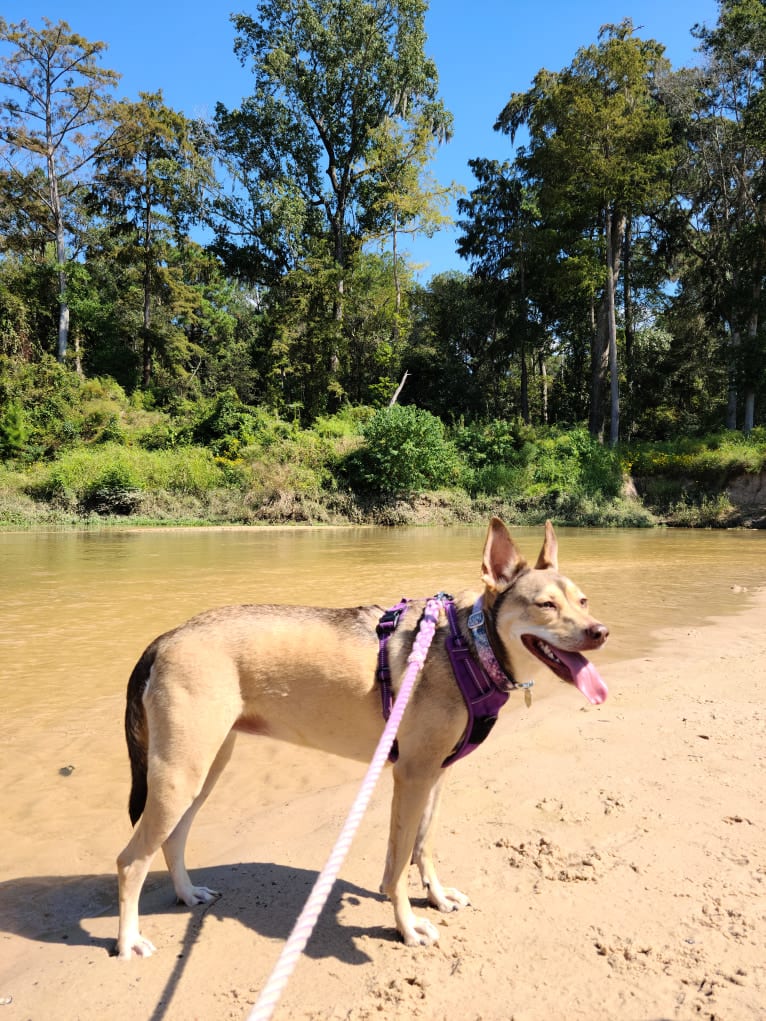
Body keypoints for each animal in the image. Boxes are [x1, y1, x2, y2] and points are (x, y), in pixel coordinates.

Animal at [115, 518, 604, 955]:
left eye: (583, 600)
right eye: (545, 605)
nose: (600, 631)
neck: (470, 645)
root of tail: (165, 638)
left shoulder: (435, 776)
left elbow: (422, 847)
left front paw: (436, 896)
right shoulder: (411, 777)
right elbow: (398, 865)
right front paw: (407, 927)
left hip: (203, 772)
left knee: (172, 839)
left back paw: (186, 893)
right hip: (180, 776)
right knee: (130, 861)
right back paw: (128, 940)